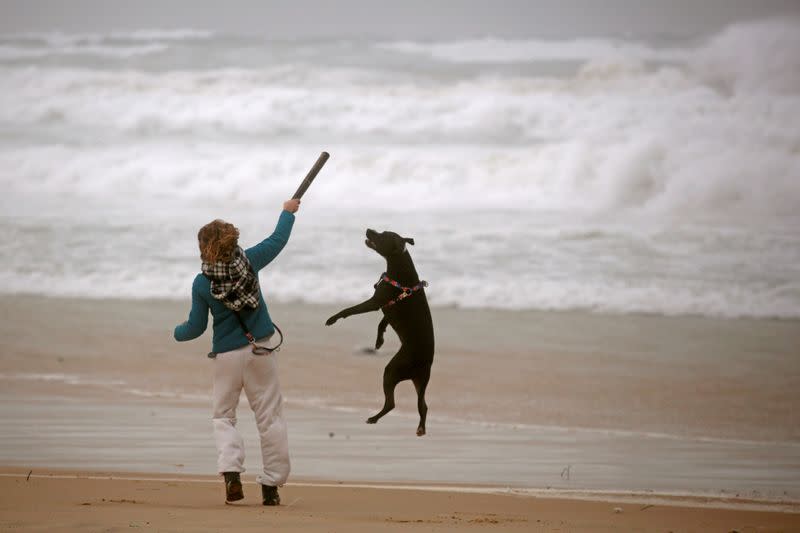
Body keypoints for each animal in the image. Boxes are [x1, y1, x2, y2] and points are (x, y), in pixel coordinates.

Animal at [326, 227, 438, 434]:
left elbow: (351, 310)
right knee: (423, 405)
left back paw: (374, 418)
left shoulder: (375, 302)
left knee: (392, 403)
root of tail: (425, 362)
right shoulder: (387, 309)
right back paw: (420, 427)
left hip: (392, 370)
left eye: (382, 236)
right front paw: (379, 342)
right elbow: (382, 324)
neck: (398, 267)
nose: (368, 229)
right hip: (420, 381)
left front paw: (334, 318)